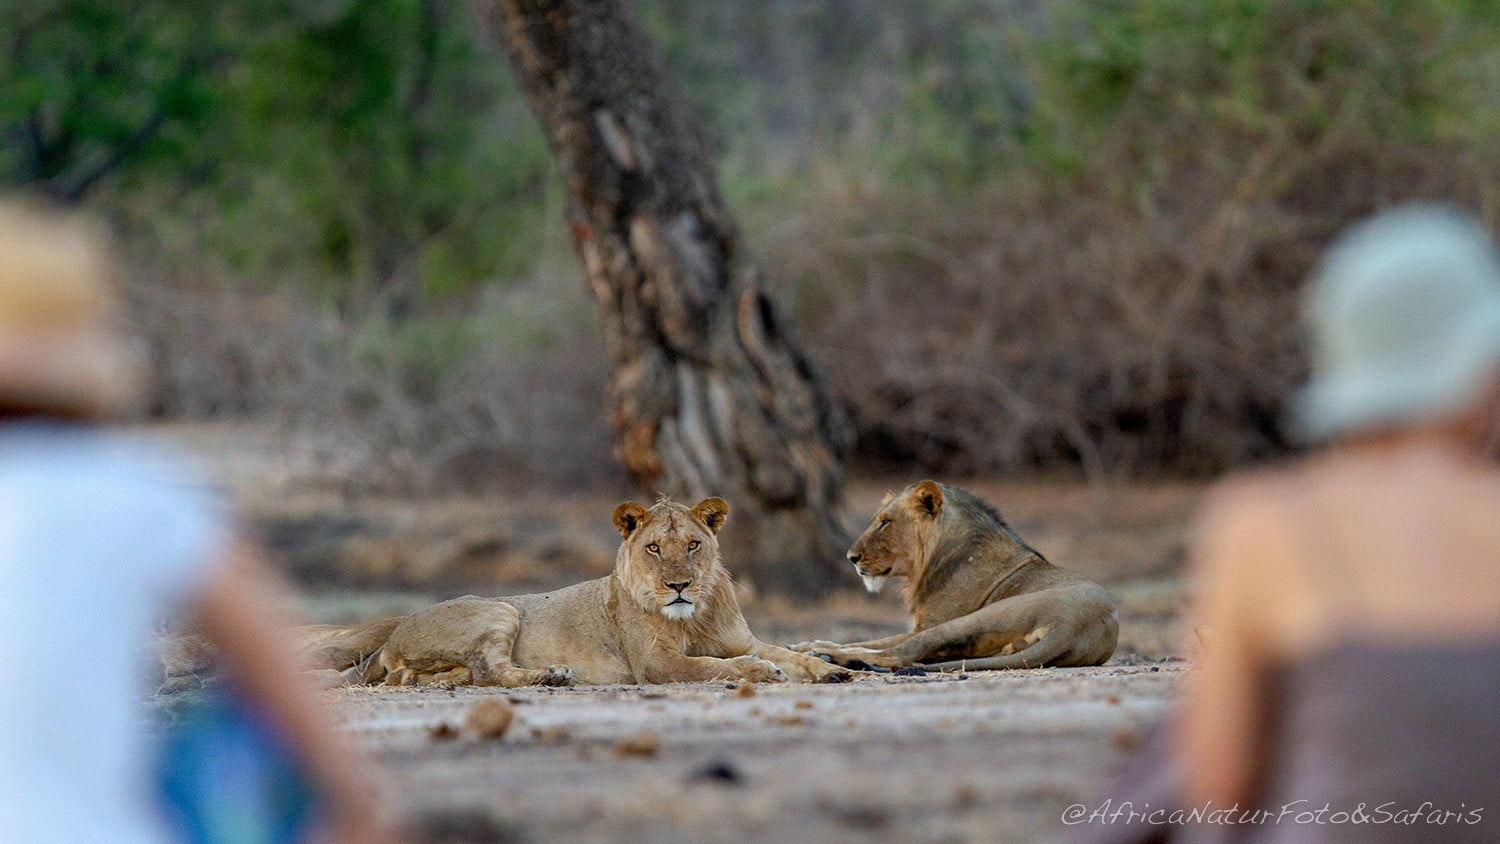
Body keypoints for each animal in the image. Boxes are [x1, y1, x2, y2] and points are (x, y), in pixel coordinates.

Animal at [298, 494, 852, 686]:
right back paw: (549, 676)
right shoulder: (654, 664)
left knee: (449, 676)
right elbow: (712, 666)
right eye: (654, 548)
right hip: (499, 608)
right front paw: (762, 672)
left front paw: (833, 670)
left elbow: (791, 653)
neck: (694, 614)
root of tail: (395, 633)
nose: (678, 585)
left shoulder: (744, 639)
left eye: (694, 544)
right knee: (490, 671)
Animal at [792, 482, 1122, 674]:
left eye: (885, 522)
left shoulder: (928, 624)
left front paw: (812, 646)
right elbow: (869, 638)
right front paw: (807, 642)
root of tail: (1074, 625)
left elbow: (877, 642)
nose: (851, 557)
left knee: (900, 654)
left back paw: (826, 656)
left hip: (978, 617)